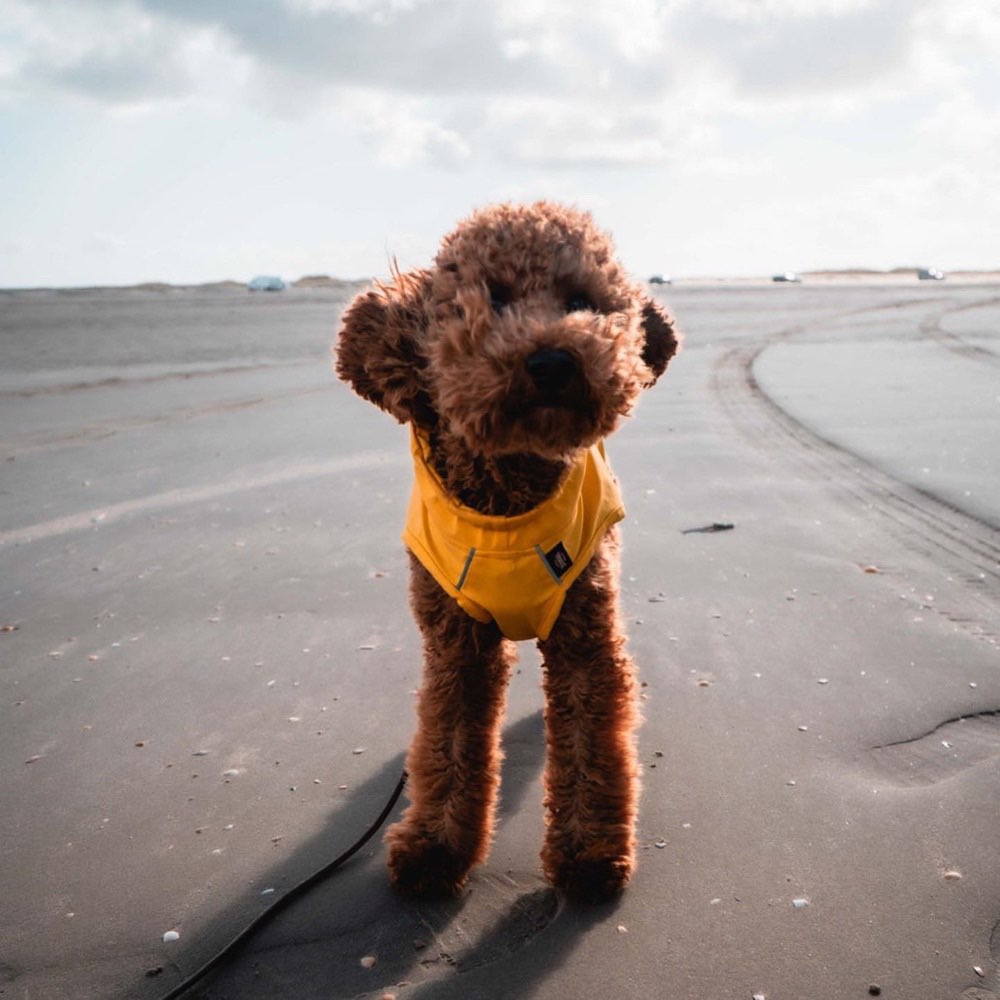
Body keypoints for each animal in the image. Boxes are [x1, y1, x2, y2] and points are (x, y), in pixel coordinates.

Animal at [336, 199, 680, 904]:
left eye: (580, 299)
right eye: (491, 298)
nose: (553, 361)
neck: (508, 500)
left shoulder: (585, 634)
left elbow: (590, 742)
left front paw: (590, 854)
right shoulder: (455, 644)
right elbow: (448, 744)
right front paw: (437, 848)